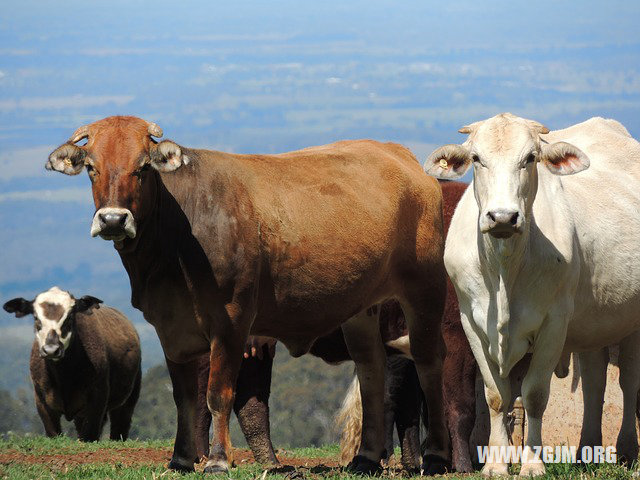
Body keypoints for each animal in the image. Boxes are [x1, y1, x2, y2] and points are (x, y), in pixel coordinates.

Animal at [3, 286, 141, 440]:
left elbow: (89, 436)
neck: (64, 377)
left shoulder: (97, 400)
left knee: (119, 428)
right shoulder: (42, 401)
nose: (51, 350)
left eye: (69, 317)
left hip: (128, 399)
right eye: (36, 318)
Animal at [46, 115, 450, 472]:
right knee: (371, 369)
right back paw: (365, 459)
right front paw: (180, 459)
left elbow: (217, 394)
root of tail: (400, 155)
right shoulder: (169, 327)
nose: (113, 219)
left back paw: (436, 457)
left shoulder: (231, 322)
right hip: (362, 306)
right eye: (92, 167)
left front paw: (218, 461)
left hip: (423, 290)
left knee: (429, 363)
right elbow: (184, 398)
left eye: (143, 167)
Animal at [428, 113, 640, 476]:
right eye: (477, 159)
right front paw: (496, 465)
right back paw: (587, 451)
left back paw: (626, 449)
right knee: (595, 383)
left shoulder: (553, 324)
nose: (502, 216)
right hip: (592, 323)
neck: (504, 270)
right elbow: (497, 396)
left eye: (529, 158)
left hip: (629, 323)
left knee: (628, 382)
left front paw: (532, 464)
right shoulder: (471, 324)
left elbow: (535, 395)